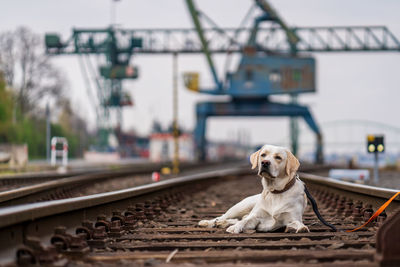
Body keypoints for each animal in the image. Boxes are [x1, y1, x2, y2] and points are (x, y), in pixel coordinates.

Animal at [198, 144, 336, 234]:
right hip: (241, 206)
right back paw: (209, 222)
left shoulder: (291, 218)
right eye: (263, 155)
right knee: (226, 216)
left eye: (278, 157)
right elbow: (244, 221)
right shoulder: (255, 217)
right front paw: (234, 228)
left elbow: (298, 223)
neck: (275, 191)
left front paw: (300, 228)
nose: (264, 162)